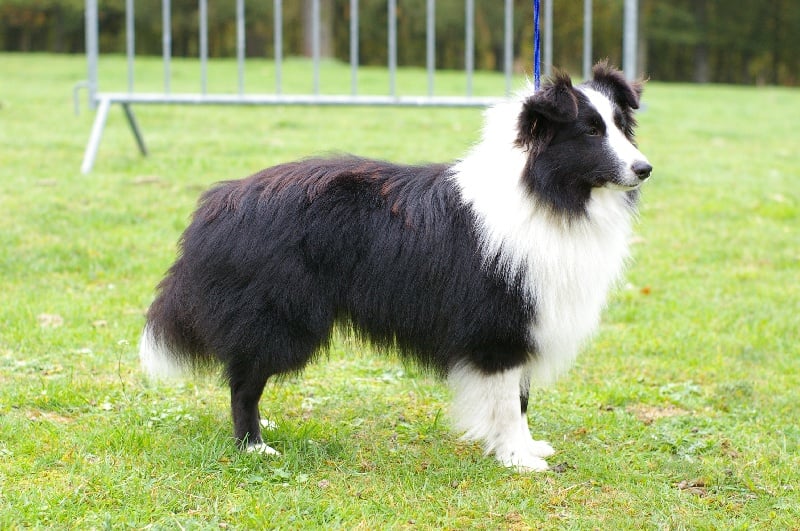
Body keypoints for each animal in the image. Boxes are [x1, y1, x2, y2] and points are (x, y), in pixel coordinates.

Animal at [139, 61, 651, 471]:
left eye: (622, 126)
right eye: (590, 131)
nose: (645, 169)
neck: (545, 192)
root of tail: (221, 201)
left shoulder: (529, 319)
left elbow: (520, 400)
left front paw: (526, 448)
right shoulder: (500, 326)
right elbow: (508, 403)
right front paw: (516, 460)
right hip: (280, 318)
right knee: (243, 384)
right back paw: (253, 446)